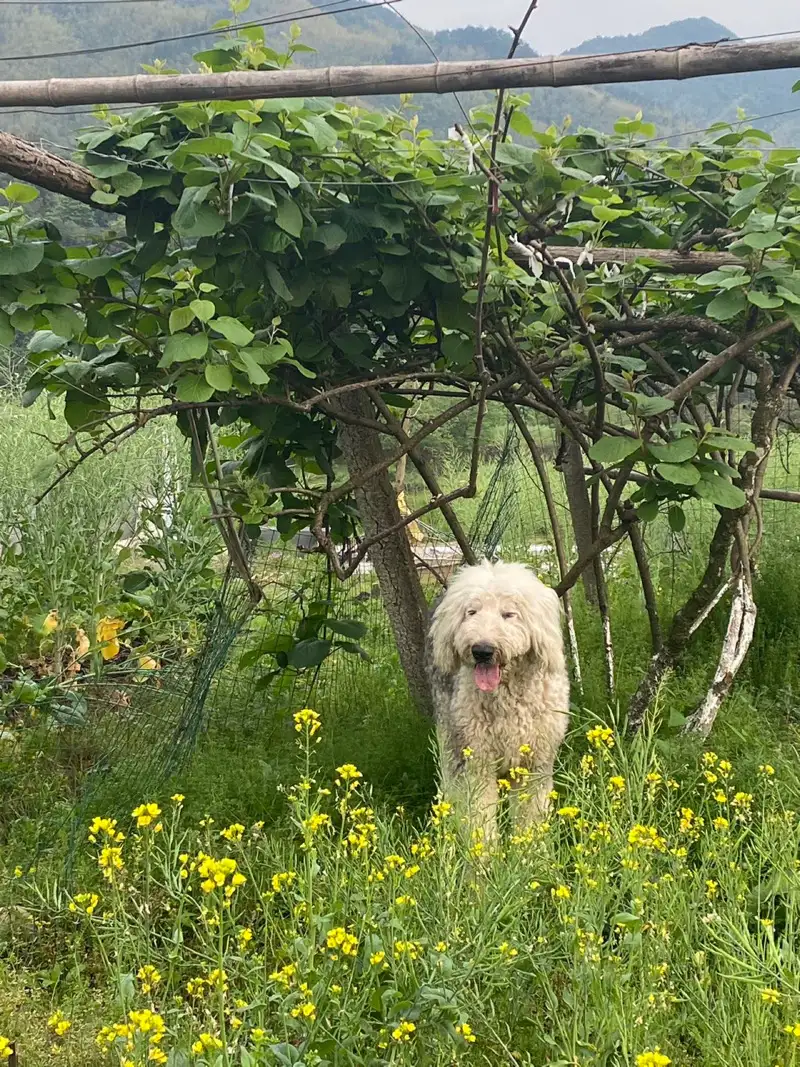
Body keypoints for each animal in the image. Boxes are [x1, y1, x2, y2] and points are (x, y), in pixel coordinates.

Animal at [426, 563, 571, 845]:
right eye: (471, 612)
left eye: (508, 614)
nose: (482, 650)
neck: (508, 699)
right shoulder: (477, 763)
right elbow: (479, 817)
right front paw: (485, 856)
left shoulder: (534, 765)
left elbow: (530, 815)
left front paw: (530, 851)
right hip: (450, 742)